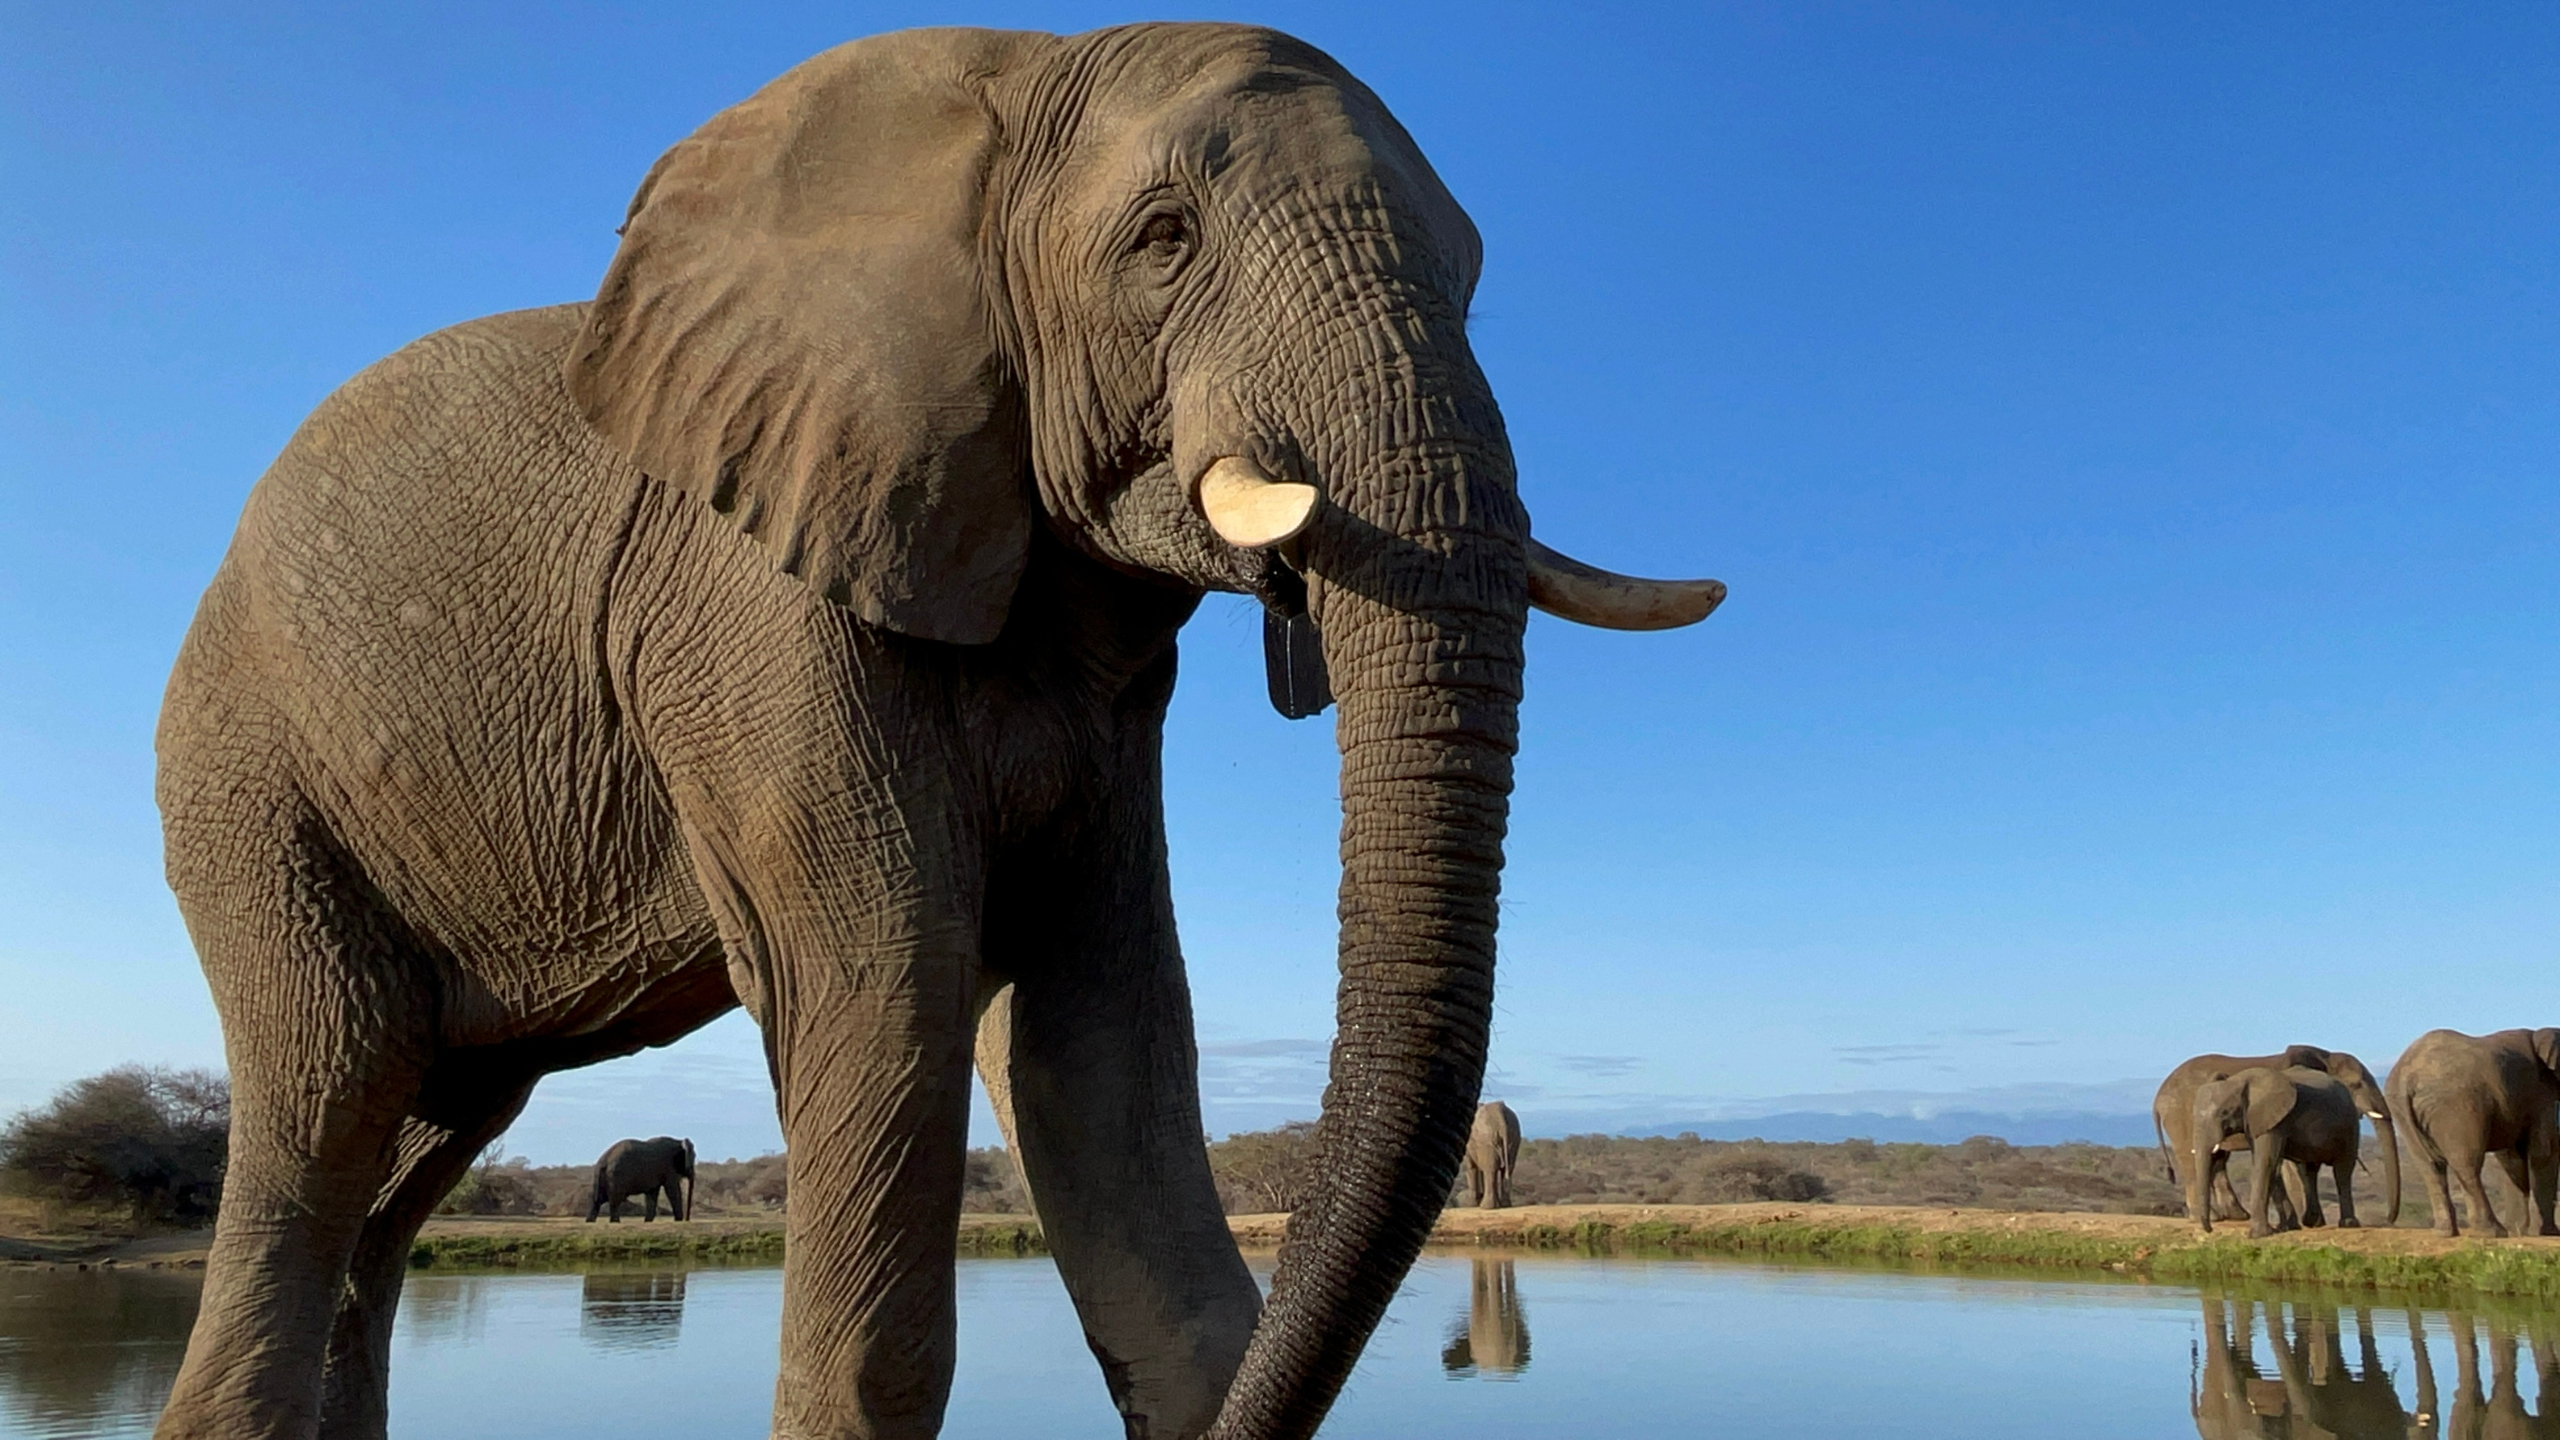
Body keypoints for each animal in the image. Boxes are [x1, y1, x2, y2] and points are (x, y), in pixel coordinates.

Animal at [147, 23, 1721, 1440]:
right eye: (1163, 239)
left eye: (1473, 280)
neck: (1001, 91)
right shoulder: (755, 600)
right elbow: (886, 981)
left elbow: (1097, 1031)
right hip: (246, 783)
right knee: (331, 1096)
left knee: (418, 1136)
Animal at [2191, 1067, 2366, 1237]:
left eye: (2224, 1113)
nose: (2210, 1230)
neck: (2237, 1080)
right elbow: (2271, 1166)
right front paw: (2286, 1228)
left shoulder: (2273, 1119)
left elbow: (2265, 1162)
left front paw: (2259, 1235)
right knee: (2308, 1172)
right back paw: (2313, 1222)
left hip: (2350, 1126)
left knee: (2342, 1171)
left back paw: (2348, 1224)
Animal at [2386, 1029, 2560, 1238]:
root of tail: (2407, 1079)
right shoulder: (2540, 1093)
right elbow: (2544, 1151)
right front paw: (2547, 1233)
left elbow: (2512, 1157)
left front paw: (2521, 1231)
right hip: (2456, 1105)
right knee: (2467, 1163)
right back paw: (2492, 1232)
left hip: (2401, 1110)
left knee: (2429, 1166)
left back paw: (2445, 1233)